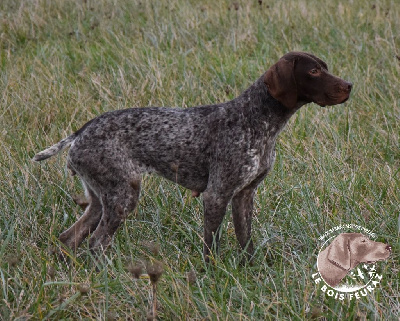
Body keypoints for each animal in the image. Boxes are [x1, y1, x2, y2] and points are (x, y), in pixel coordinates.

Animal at [34, 51, 354, 262]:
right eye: (313, 72)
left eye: (325, 67)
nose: (350, 85)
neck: (257, 119)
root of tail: (81, 132)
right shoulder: (216, 195)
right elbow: (211, 244)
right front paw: (211, 272)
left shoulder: (244, 196)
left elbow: (246, 241)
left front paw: (250, 269)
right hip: (123, 196)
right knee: (97, 243)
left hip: (101, 200)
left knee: (70, 238)